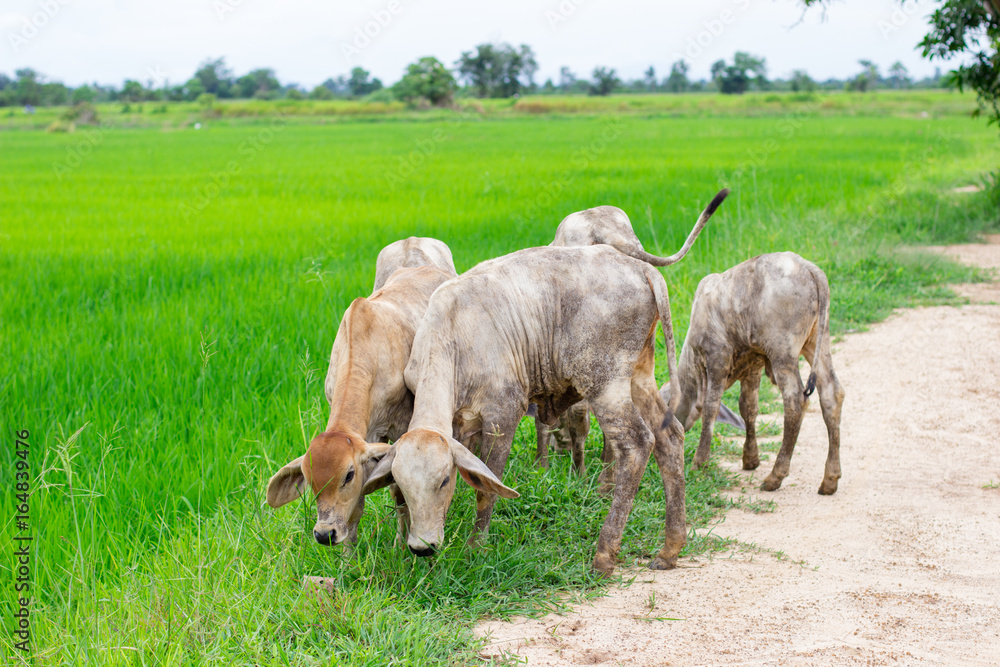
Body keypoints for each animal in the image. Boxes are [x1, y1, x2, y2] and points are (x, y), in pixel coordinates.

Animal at [266, 259, 455, 547]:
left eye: (348, 475)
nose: (324, 534)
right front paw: (349, 556)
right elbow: (355, 509)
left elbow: (399, 491)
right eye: (309, 480)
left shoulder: (400, 429)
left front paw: (400, 544)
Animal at [362, 243, 695, 576]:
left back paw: (604, 556)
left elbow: (487, 488)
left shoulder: (502, 415)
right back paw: (670, 549)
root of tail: (641, 268)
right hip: (638, 376)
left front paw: (475, 547)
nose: (422, 547)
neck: (452, 336)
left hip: (605, 383)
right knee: (669, 437)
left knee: (637, 444)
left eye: (443, 480)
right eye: (400, 482)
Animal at [664, 252, 845, 495]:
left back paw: (775, 477)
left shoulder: (717, 358)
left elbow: (711, 409)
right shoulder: (753, 368)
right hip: (818, 340)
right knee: (832, 395)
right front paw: (750, 458)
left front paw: (699, 464)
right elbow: (748, 408)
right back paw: (830, 479)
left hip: (783, 352)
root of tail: (807, 267)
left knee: (796, 401)